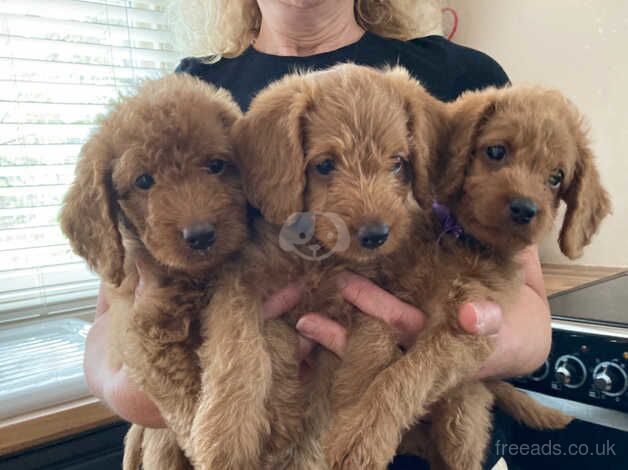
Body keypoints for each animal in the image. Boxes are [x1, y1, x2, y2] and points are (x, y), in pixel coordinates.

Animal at [59, 73, 245, 470]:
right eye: (144, 181)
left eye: (216, 165)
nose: (201, 235)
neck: (194, 276)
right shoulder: (144, 332)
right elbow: (185, 401)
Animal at [189, 63, 448, 470]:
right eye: (325, 164)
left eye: (397, 163)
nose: (376, 235)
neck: (318, 253)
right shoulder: (240, 282)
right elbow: (240, 351)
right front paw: (224, 435)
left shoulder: (368, 294)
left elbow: (367, 356)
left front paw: (354, 425)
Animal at [326, 85, 612, 470]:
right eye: (496, 151)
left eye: (556, 178)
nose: (525, 209)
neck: (461, 241)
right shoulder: (382, 291)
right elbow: (372, 346)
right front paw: (350, 407)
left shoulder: (468, 331)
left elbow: (406, 374)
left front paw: (363, 434)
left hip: (462, 418)